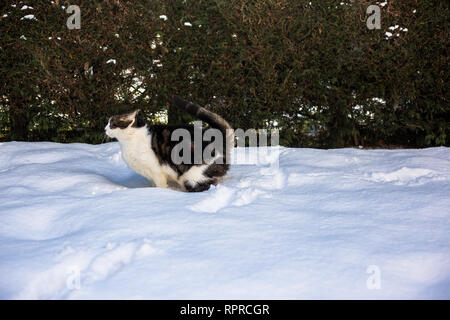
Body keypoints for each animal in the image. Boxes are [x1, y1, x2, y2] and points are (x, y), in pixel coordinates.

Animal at [104, 94, 234, 191]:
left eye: (111, 124)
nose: (104, 129)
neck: (130, 139)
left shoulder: (156, 171)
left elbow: (160, 186)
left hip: (192, 176)